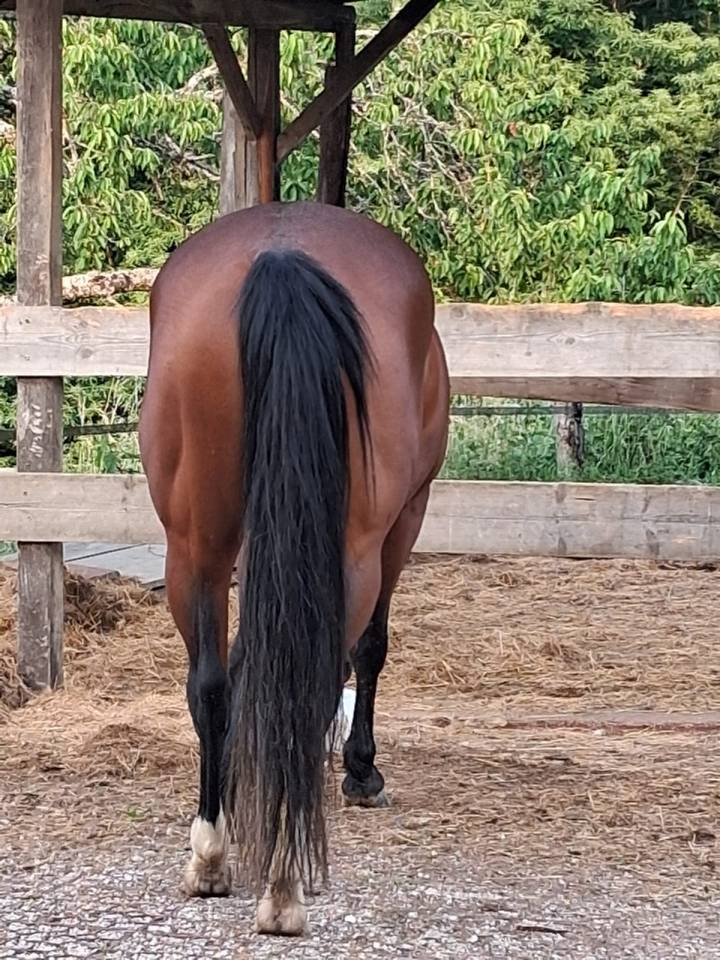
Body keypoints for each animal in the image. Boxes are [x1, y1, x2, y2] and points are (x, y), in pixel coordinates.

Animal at [139, 201, 449, 935]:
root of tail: (282, 257)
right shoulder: (406, 519)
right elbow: (371, 649)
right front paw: (362, 772)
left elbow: (243, 667)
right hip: (358, 551)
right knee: (313, 680)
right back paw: (283, 885)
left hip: (193, 544)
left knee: (211, 684)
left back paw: (212, 852)